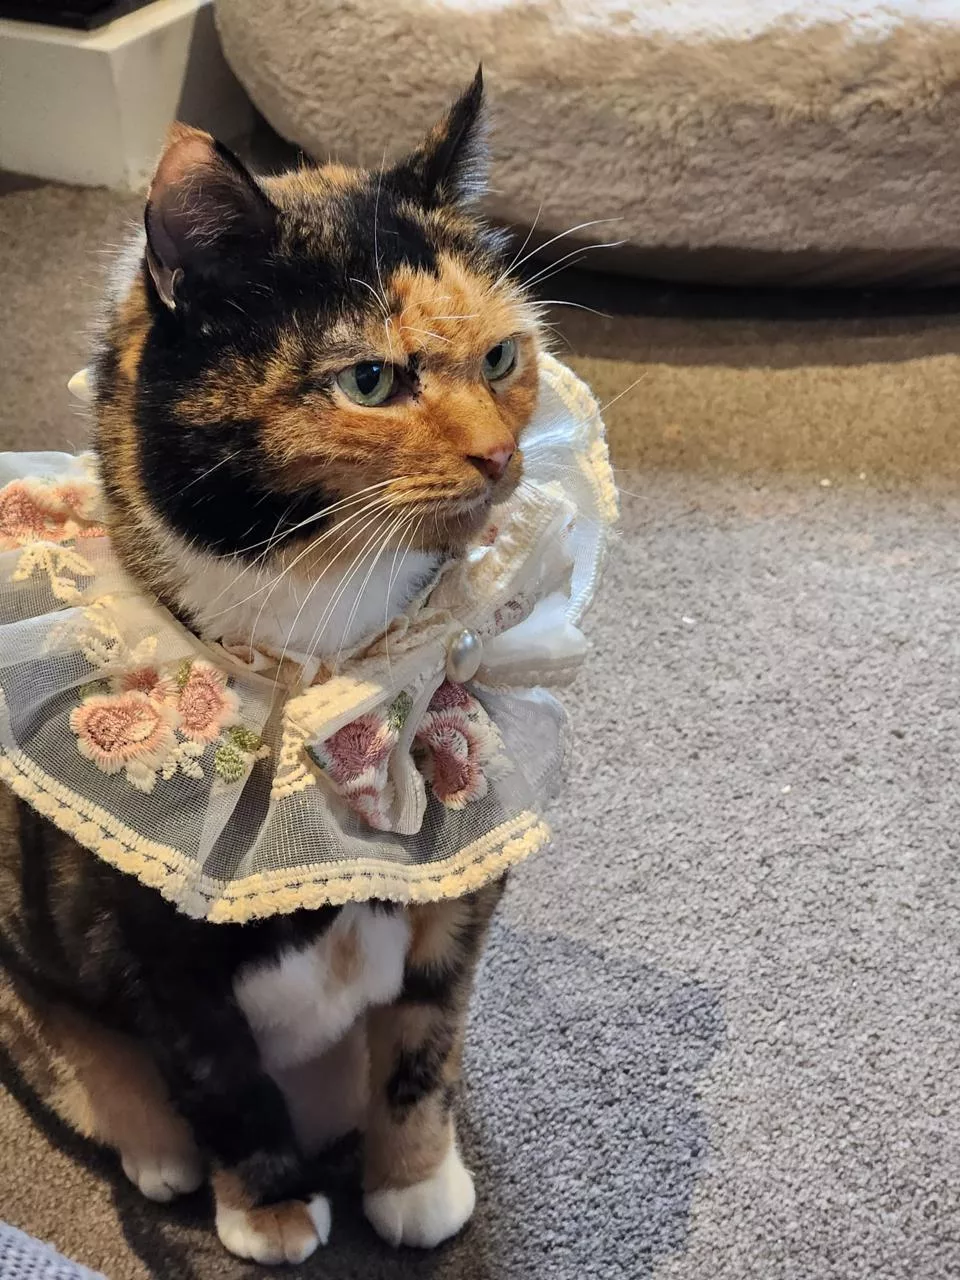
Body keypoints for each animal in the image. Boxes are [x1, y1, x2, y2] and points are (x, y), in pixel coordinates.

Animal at [0, 69, 544, 1264]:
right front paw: (269, 1209)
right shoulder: (150, 937)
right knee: (63, 1046)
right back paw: (154, 1146)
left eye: (500, 357)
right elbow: (221, 1079)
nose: (501, 456)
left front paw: (415, 1183)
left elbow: (426, 1045)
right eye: (370, 380)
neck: (314, 663)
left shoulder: (460, 877)